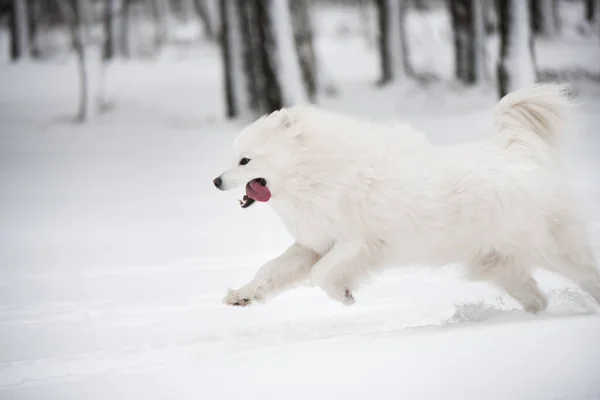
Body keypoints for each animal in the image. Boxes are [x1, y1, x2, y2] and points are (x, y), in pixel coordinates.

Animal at [213, 85, 600, 316]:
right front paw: (241, 295)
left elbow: (322, 273)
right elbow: (271, 270)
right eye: (231, 158)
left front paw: (344, 296)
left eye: (245, 161)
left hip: (550, 248)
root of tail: (515, 151)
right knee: (537, 296)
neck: (313, 172)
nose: (216, 181)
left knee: (587, 275)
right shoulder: (312, 243)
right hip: (500, 265)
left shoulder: (358, 241)